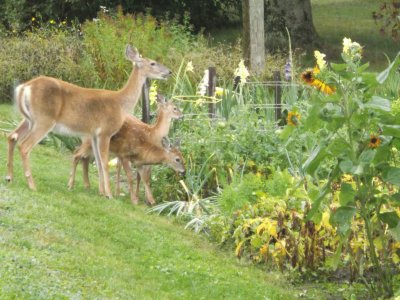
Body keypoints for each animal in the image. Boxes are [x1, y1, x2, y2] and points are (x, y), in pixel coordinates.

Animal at [6, 44, 171, 197]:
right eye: (153, 63)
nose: (169, 72)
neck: (121, 104)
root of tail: (24, 87)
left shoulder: (93, 134)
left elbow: (97, 162)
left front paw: (101, 192)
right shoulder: (105, 132)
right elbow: (104, 162)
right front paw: (109, 194)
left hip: (29, 119)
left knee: (12, 136)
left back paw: (9, 177)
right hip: (44, 119)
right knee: (24, 146)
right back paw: (32, 185)